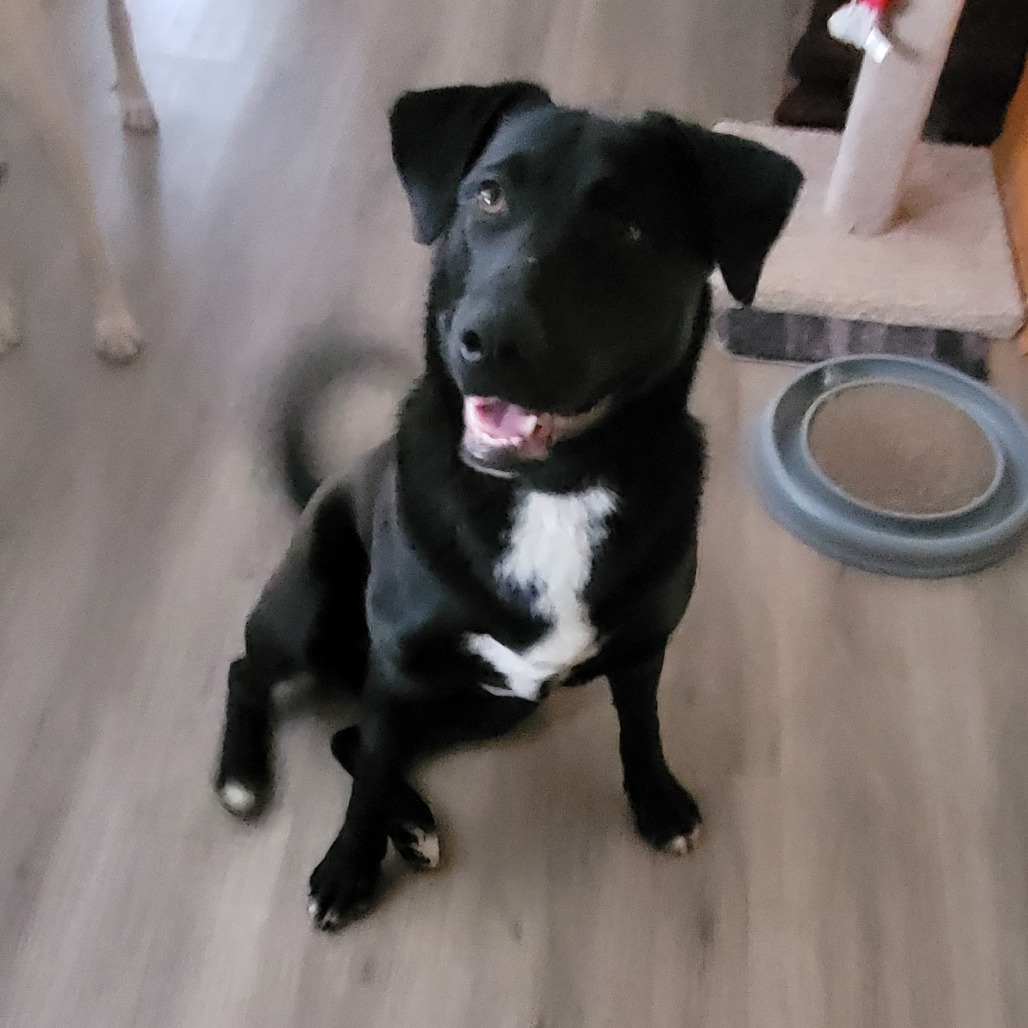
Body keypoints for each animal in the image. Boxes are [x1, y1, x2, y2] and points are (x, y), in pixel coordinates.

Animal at [214, 81, 803, 930]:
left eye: (628, 226)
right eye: (488, 195)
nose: (487, 340)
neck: (552, 490)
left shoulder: (643, 649)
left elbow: (642, 728)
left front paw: (656, 801)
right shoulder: (398, 660)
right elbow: (367, 780)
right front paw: (350, 866)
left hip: (497, 703)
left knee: (350, 737)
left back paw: (412, 824)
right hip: (312, 612)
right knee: (254, 676)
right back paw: (243, 776)